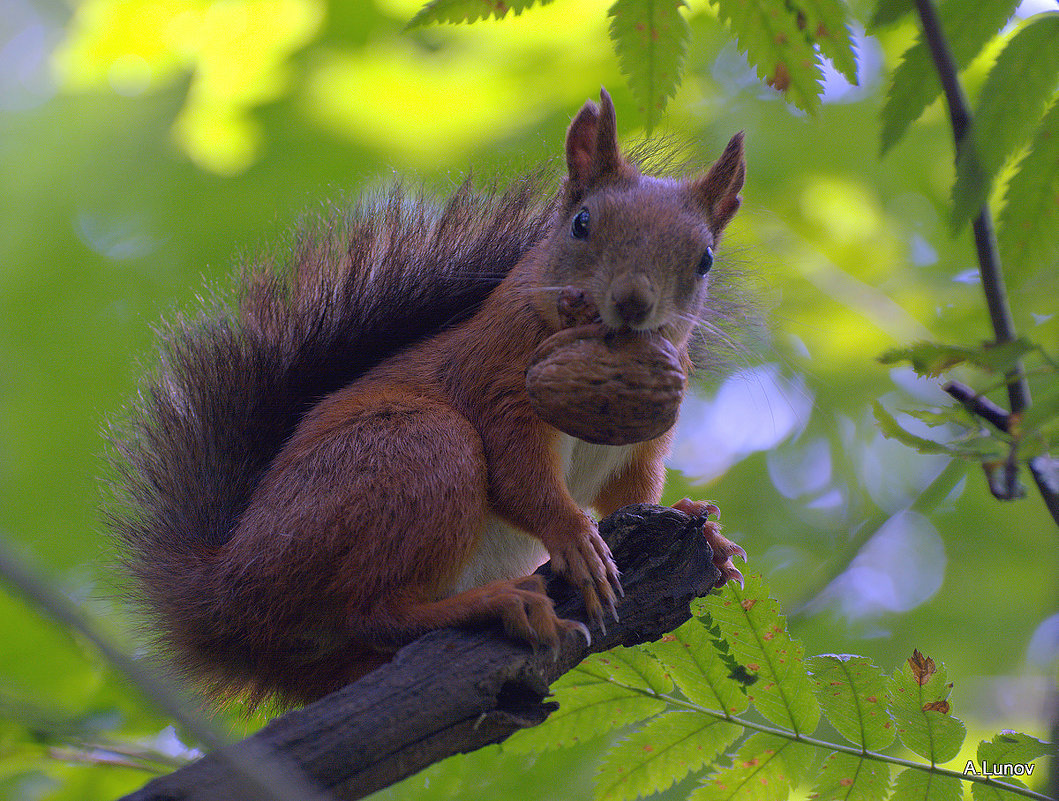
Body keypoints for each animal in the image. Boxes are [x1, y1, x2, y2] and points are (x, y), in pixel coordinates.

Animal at [109, 90, 745, 712]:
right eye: (582, 223)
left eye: (704, 259)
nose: (633, 302)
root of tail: (231, 589)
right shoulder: (496, 377)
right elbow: (519, 474)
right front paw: (575, 537)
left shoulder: (642, 441)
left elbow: (630, 496)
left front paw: (702, 531)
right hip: (420, 453)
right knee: (375, 611)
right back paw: (498, 604)